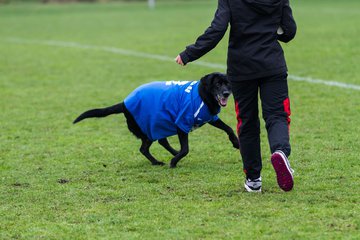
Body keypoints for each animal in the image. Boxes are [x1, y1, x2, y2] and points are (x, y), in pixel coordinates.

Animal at [74, 72, 239, 168]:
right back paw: (157, 162)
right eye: (217, 84)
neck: (202, 95)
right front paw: (174, 162)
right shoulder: (182, 124)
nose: (226, 93)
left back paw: (172, 153)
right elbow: (185, 149)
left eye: (228, 83)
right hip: (148, 128)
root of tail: (124, 103)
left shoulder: (210, 117)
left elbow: (229, 128)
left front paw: (236, 143)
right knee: (145, 148)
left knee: (161, 141)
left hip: (159, 123)